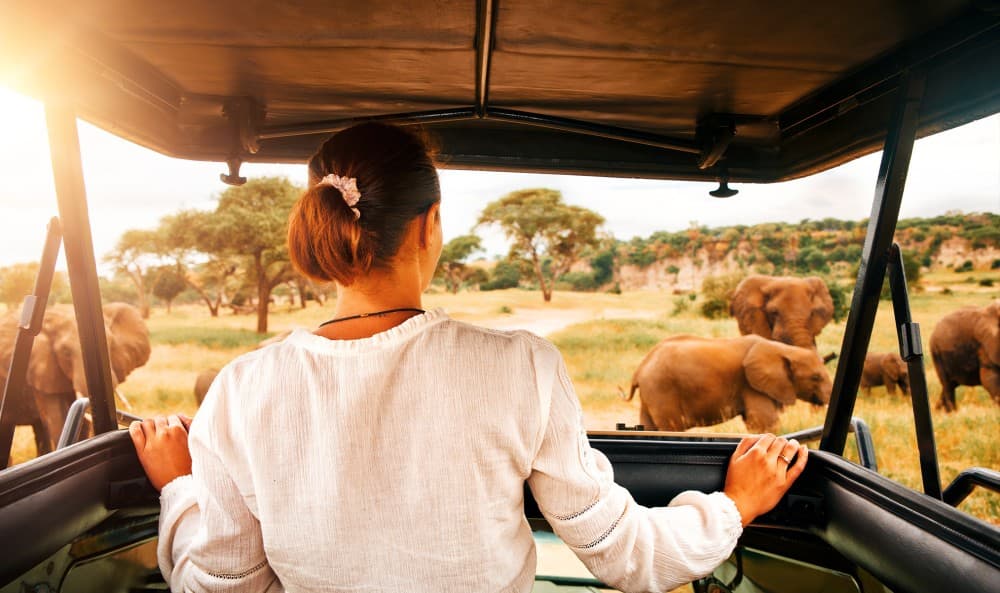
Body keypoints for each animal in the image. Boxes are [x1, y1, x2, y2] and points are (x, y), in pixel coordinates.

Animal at [624, 334, 832, 432]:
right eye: (815, 377)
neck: (784, 349)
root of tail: (640, 369)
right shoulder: (751, 385)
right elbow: (765, 424)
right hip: (662, 390)